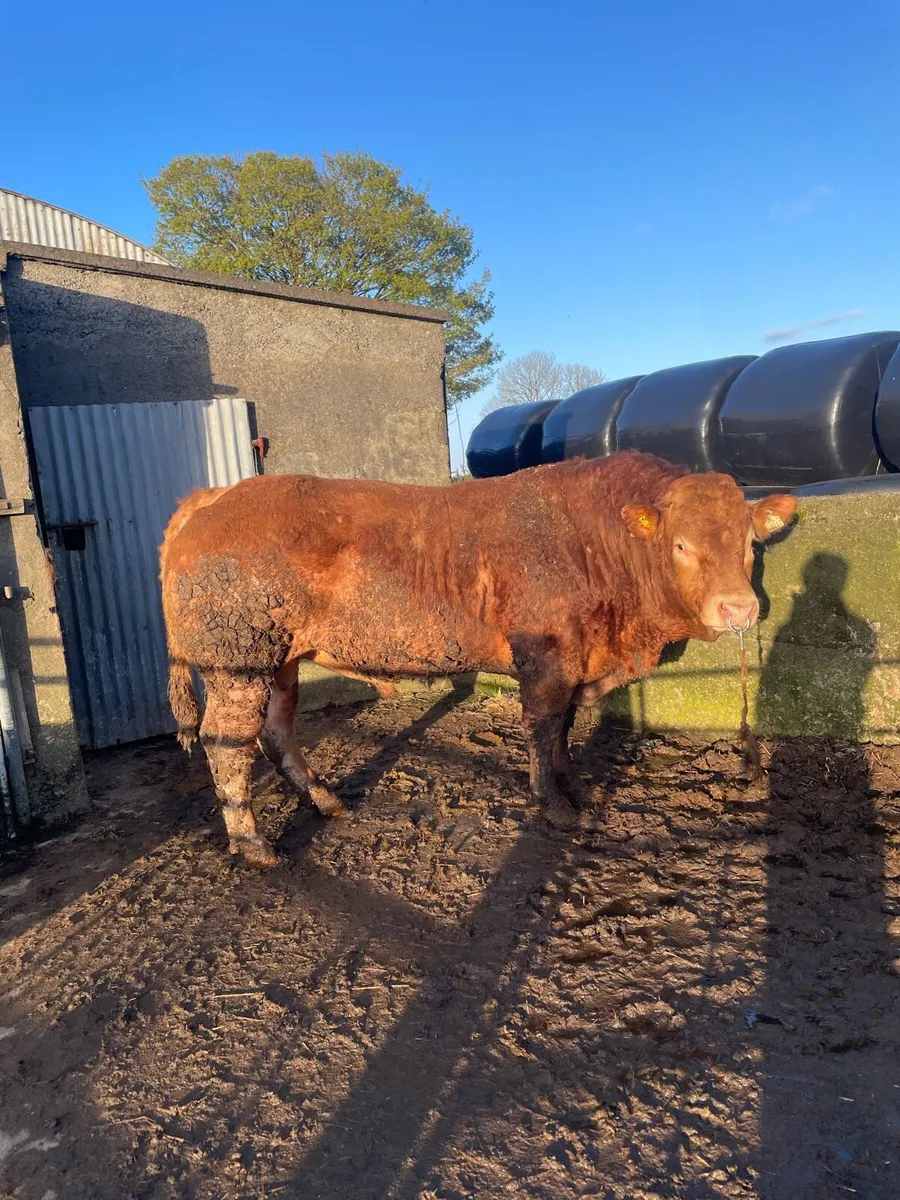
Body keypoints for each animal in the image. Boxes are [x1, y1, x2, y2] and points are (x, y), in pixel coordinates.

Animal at [159, 450, 796, 868]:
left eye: (749, 542)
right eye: (682, 544)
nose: (739, 608)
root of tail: (215, 496)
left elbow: (564, 727)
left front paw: (572, 784)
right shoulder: (545, 656)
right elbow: (543, 725)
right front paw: (553, 805)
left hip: (278, 658)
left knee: (277, 731)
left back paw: (325, 800)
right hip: (237, 660)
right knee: (226, 742)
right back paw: (254, 845)